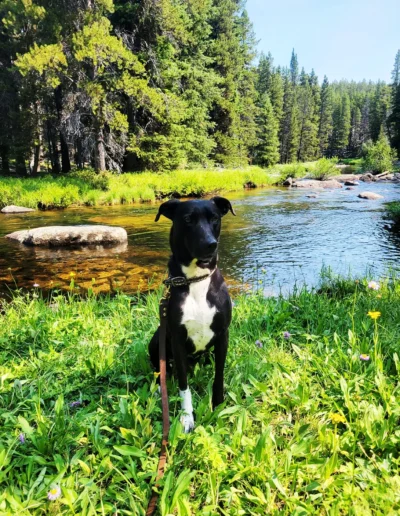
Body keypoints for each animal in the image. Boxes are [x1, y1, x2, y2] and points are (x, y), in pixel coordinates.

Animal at [149, 198, 234, 432]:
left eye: (215, 218)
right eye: (187, 219)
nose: (210, 244)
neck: (196, 280)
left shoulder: (223, 334)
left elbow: (218, 376)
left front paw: (218, 405)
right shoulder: (177, 339)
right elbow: (183, 384)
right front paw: (186, 417)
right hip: (156, 340)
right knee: (160, 370)